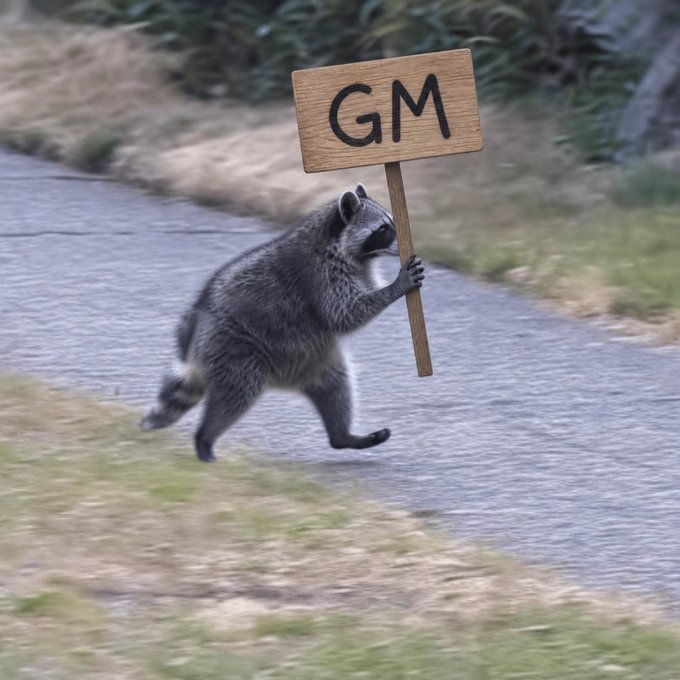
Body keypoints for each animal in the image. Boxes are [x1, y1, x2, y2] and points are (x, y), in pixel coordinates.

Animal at [140, 184, 425, 461]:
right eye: (383, 229)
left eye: (392, 222)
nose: (406, 243)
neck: (337, 242)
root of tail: (196, 322)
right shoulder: (320, 277)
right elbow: (344, 314)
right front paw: (394, 287)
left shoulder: (357, 270)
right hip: (235, 349)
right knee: (235, 395)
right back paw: (205, 438)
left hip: (309, 359)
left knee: (335, 385)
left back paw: (343, 436)